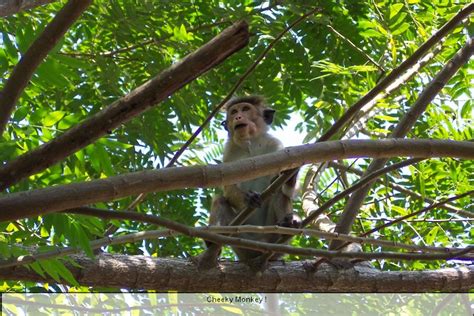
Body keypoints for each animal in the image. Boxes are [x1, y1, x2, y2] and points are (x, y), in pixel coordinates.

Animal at [194, 95, 302, 270]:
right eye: (233, 112)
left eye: (245, 109)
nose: (238, 117)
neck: (251, 144)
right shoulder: (229, 151)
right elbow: (228, 186)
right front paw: (248, 198)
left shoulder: (275, 145)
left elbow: (285, 188)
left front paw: (291, 175)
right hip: (241, 242)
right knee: (219, 200)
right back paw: (213, 241)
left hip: (271, 237)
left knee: (278, 192)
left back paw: (288, 225)